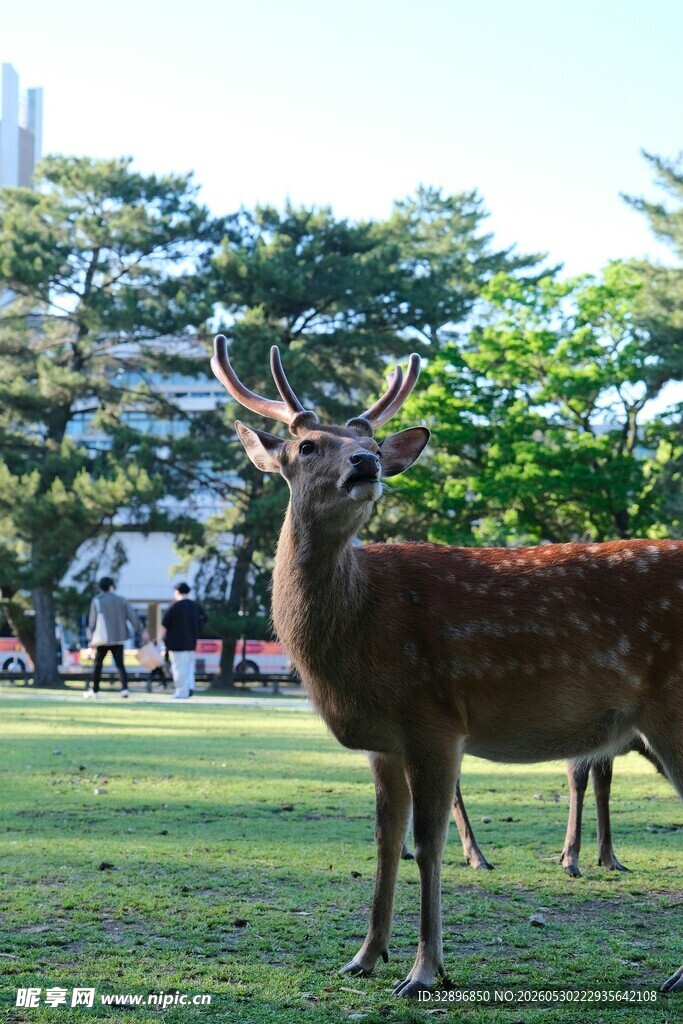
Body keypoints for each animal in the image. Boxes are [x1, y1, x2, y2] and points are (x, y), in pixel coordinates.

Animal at [211, 335, 683, 997]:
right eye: (308, 446)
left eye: (368, 442)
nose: (366, 463)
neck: (353, 637)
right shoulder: (383, 740)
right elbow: (386, 841)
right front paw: (364, 956)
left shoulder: (432, 717)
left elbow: (428, 844)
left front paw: (424, 970)